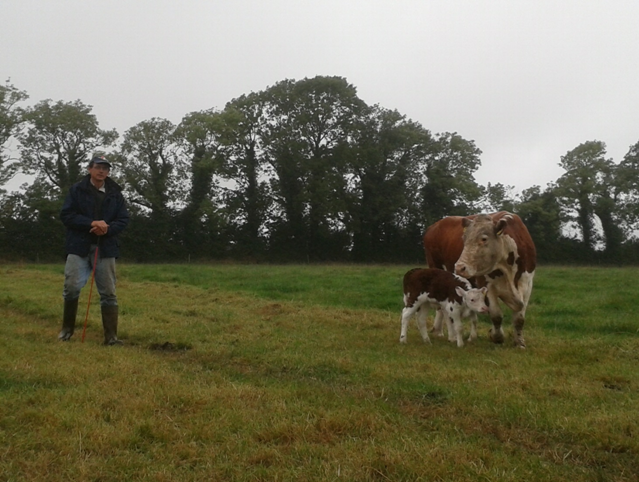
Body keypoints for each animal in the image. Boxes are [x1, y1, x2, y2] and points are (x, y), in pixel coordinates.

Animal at [422, 213, 536, 348]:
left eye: (484, 239)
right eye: (464, 238)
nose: (459, 267)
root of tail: (434, 226)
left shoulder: (527, 284)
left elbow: (519, 318)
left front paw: (519, 342)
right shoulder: (487, 285)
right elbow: (496, 315)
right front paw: (497, 337)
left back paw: (439, 331)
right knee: (442, 308)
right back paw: (443, 332)